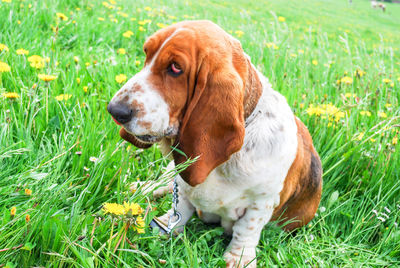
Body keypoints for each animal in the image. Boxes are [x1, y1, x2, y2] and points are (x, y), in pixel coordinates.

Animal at [108, 19, 324, 266]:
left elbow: (246, 228)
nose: (114, 110)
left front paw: (239, 258)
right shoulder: (182, 184)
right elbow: (180, 207)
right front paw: (165, 226)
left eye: (176, 68)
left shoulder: (262, 201)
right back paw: (144, 187)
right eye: (146, 53)